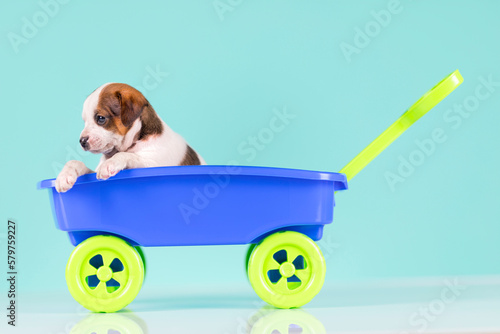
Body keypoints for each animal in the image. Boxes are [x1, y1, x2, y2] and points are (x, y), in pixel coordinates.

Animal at [54, 82, 203, 193]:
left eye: (100, 119)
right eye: (85, 121)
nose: (82, 141)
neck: (135, 140)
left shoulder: (154, 165)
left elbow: (127, 155)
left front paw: (110, 163)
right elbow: (75, 162)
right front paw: (64, 176)